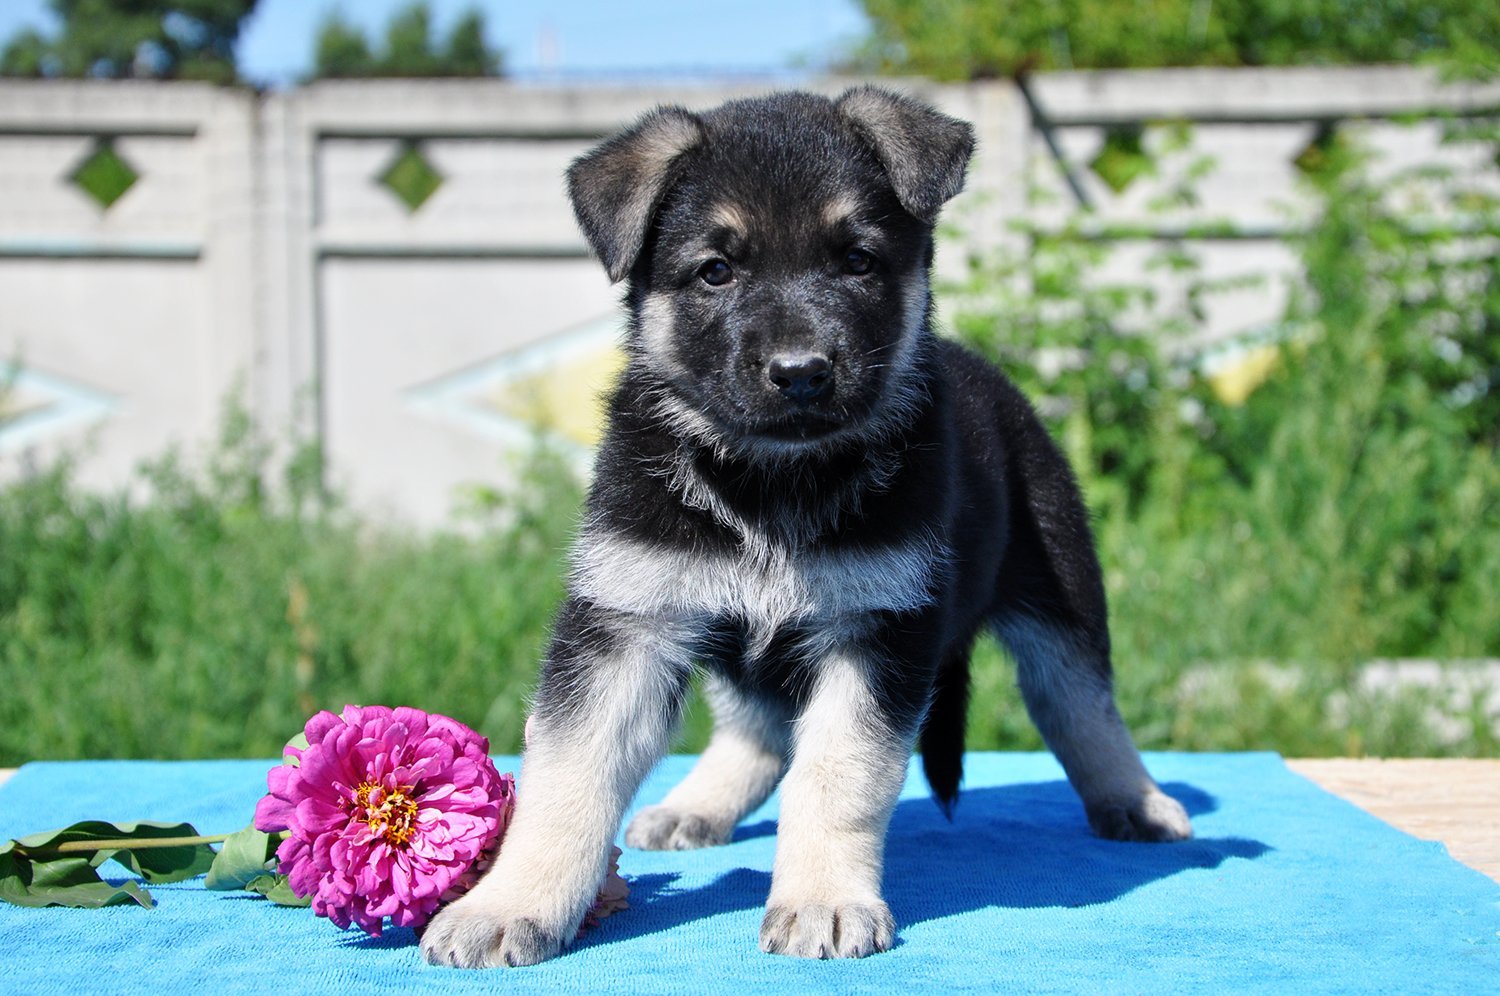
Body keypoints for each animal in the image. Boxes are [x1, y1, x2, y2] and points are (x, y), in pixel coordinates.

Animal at [417, 89, 1188, 966]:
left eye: (856, 260)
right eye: (716, 271)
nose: (801, 374)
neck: (766, 481)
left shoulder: (872, 636)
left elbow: (835, 778)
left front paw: (822, 899)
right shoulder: (625, 625)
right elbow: (568, 778)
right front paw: (508, 904)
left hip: (1059, 594)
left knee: (1081, 705)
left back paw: (1136, 799)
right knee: (756, 728)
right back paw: (698, 803)